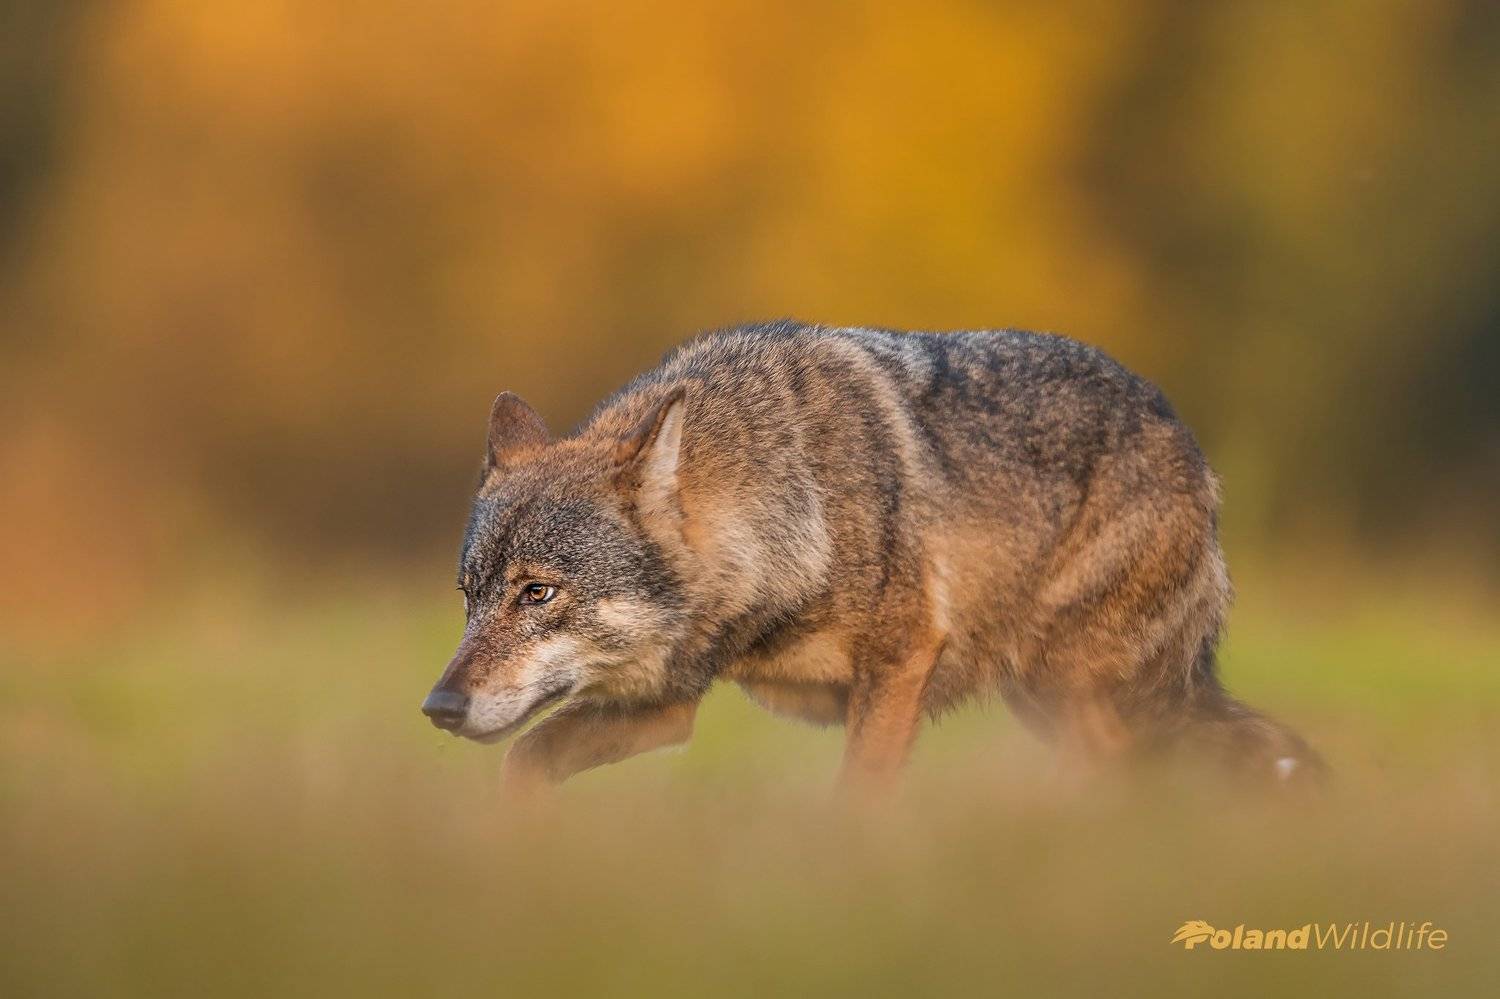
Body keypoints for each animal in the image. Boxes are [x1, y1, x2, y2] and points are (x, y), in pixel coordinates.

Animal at [421, 321, 1320, 792]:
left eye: (537, 593)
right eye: (470, 596)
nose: (438, 706)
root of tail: (1188, 442)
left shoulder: (900, 665)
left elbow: (861, 804)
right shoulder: (668, 704)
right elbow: (526, 761)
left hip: (1081, 694)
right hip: (1058, 701)